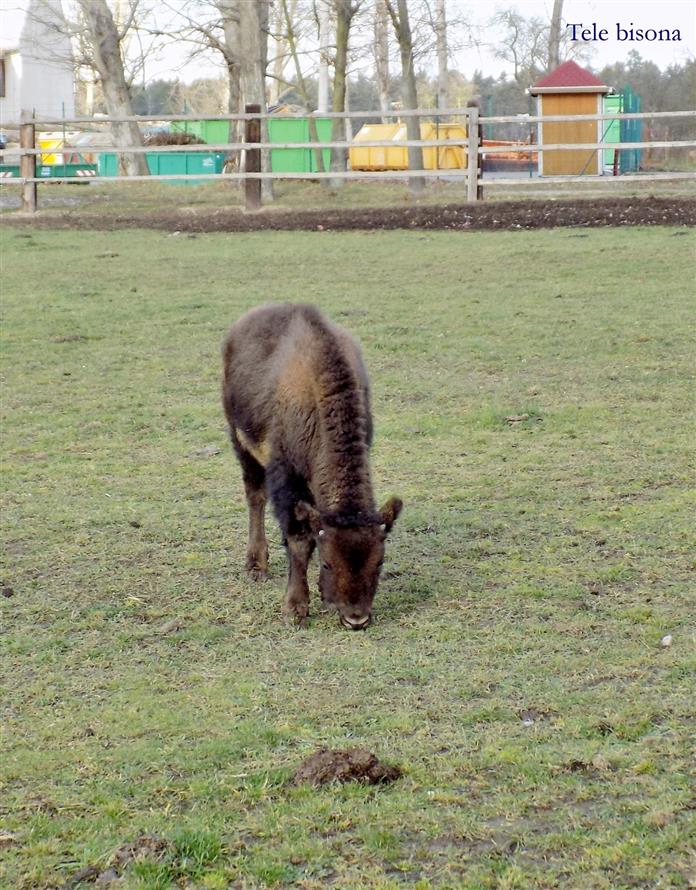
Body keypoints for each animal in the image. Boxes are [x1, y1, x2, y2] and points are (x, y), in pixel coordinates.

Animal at [220, 302, 400, 628]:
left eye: (380, 560)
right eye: (328, 564)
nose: (356, 619)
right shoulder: (288, 477)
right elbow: (300, 540)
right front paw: (295, 607)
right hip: (240, 441)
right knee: (255, 497)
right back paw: (256, 565)